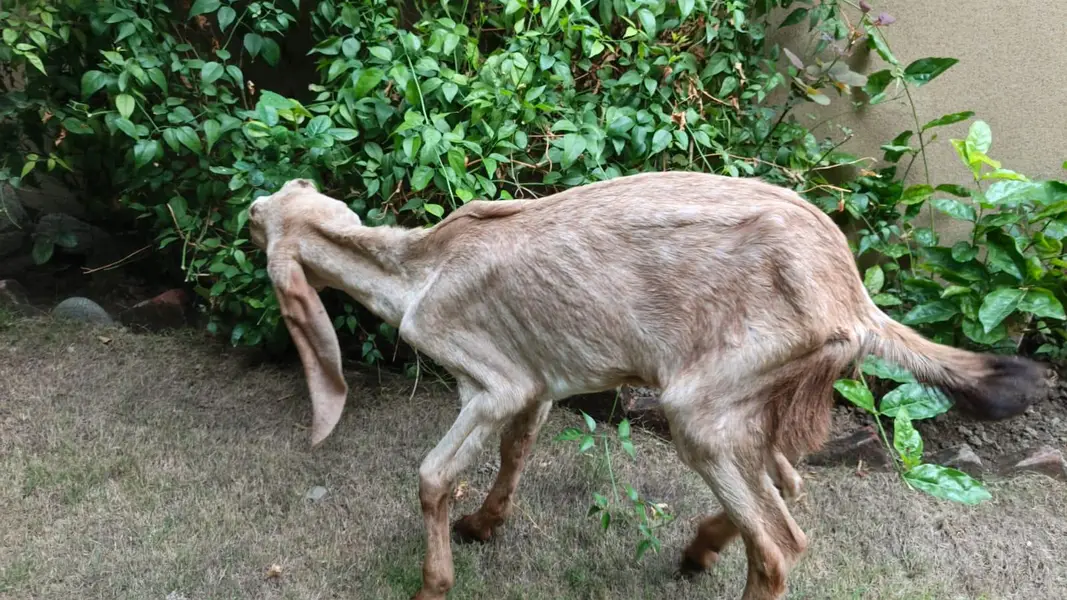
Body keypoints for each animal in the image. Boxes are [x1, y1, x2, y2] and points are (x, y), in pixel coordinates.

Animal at [248, 172, 1044, 600]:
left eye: (260, 222)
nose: (248, 210)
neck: (417, 268)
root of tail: (852, 296)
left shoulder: (494, 382)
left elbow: (433, 477)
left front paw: (431, 582)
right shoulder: (538, 383)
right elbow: (513, 454)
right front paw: (484, 527)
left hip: (699, 408)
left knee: (781, 543)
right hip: (749, 402)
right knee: (788, 482)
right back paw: (699, 549)